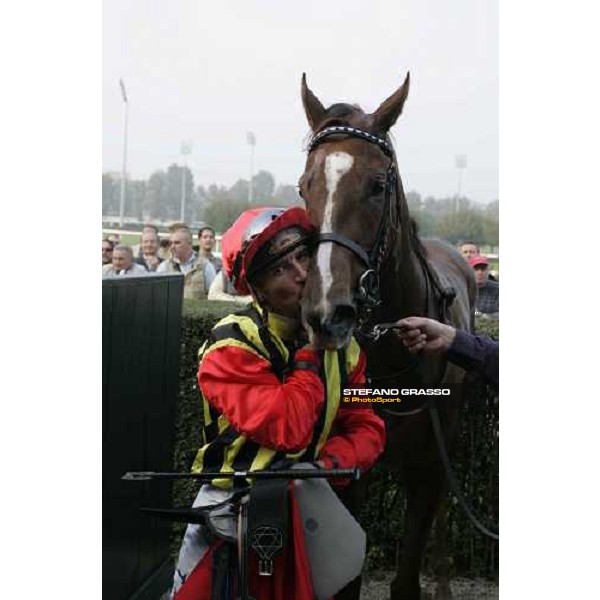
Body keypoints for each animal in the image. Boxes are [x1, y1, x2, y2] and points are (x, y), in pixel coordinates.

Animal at [298, 74, 476, 600]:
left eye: (378, 185)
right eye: (304, 185)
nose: (326, 312)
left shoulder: (428, 468)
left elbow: (408, 572)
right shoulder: (349, 470)